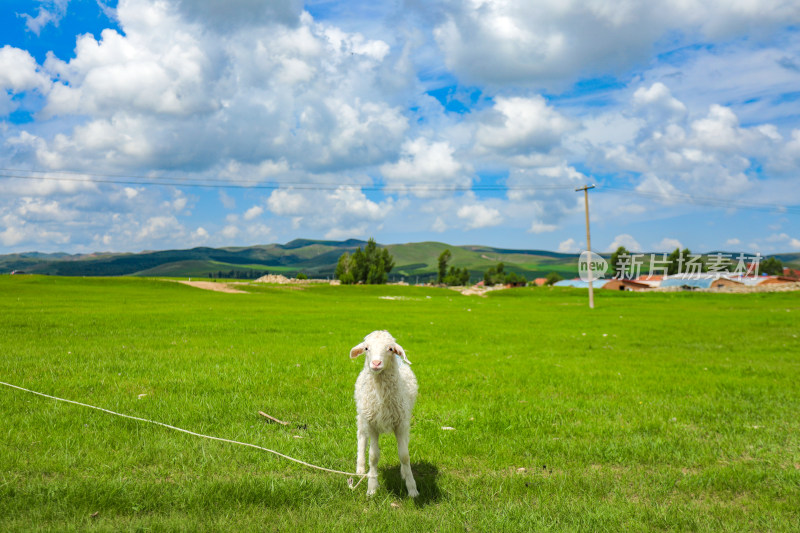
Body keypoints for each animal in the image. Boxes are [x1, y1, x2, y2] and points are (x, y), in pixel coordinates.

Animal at [350, 330, 418, 496]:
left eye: (390, 349)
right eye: (366, 348)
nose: (376, 363)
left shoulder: (400, 423)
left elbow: (404, 456)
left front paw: (412, 488)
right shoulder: (372, 424)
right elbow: (373, 456)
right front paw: (372, 487)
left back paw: (403, 472)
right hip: (362, 415)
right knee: (361, 437)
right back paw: (360, 469)